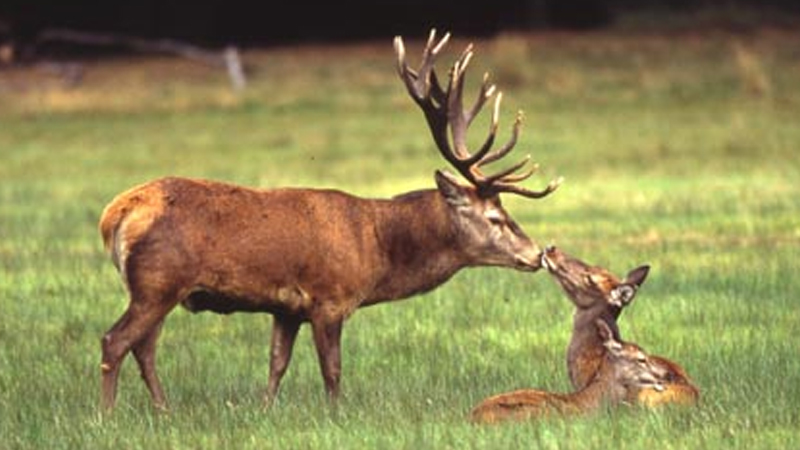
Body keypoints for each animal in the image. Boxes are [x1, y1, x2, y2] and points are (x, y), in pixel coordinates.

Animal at [97, 29, 564, 414]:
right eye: (496, 217)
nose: (536, 254)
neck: (375, 247)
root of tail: (115, 213)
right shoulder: (330, 297)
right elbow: (332, 370)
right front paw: (336, 416)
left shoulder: (285, 308)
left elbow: (277, 363)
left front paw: (265, 410)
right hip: (158, 281)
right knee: (115, 341)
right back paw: (108, 416)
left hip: (155, 287)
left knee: (144, 347)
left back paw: (163, 410)